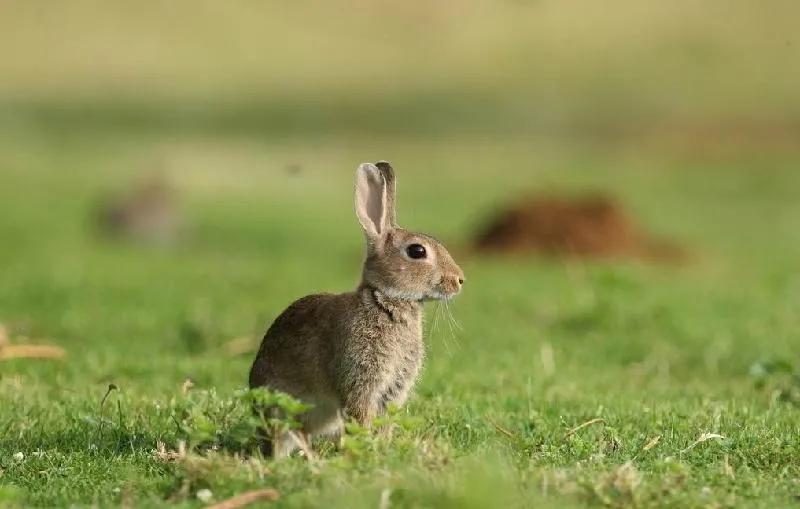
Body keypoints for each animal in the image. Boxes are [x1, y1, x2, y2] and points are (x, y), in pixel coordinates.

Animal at [248, 162, 462, 456]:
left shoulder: (392, 390)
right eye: (417, 251)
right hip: (282, 409)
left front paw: (381, 447)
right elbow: (361, 417)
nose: (460, 280)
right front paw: (366, 448)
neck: (385, 301)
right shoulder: (359, 380)